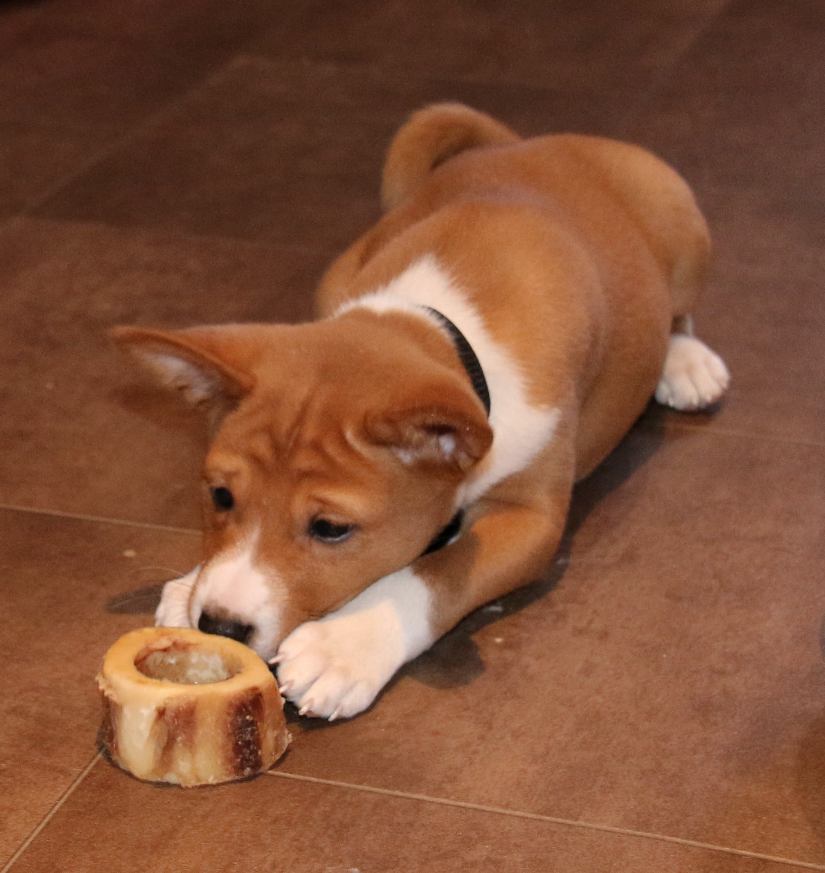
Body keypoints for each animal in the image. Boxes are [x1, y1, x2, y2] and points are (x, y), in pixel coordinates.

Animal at [113, 104, 729, 721]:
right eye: (220, 496)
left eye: (330, 529)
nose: (219, 625)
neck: (440, 317)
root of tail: (531, 143)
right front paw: (191, 583)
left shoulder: (531, 516)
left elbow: (438, 573)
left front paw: (345, 645)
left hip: (684, 233)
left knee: (679, 312)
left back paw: (685, 361)